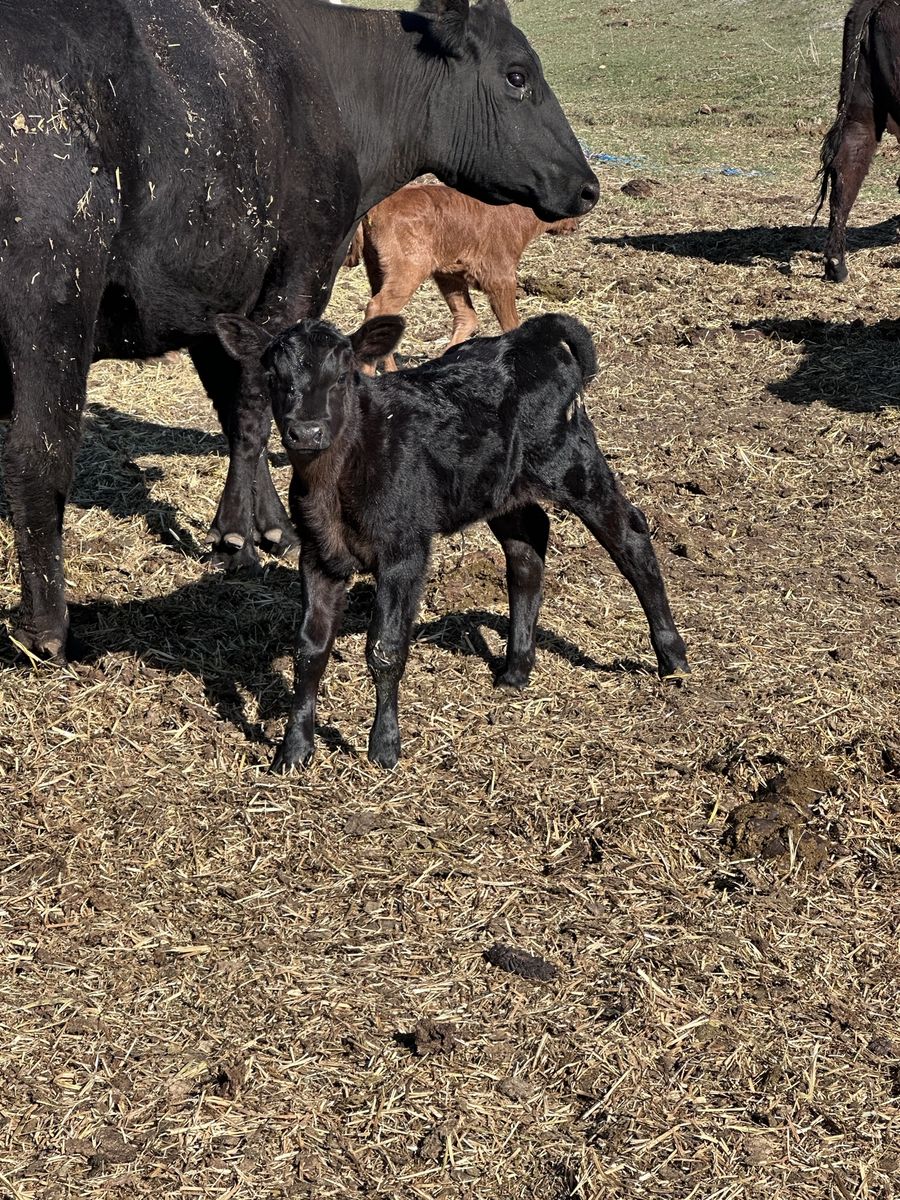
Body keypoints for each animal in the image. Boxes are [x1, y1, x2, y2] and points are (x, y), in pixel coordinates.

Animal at [214, 310, 690, 771]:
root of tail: (528, 336)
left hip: (572, 464)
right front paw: (293, 751)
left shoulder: (405, 550)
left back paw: (673, 659)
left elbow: (385, 648)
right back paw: (516, 670)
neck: (338, 478)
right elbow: (310, 651)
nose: (307, 431)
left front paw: (384, 749)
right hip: (501, 489)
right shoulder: (318, 554)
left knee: (630, 537)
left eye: (344, 373)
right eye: (273, 374)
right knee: (527, 545)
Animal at [351, 183, 580, 371]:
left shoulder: (449, 274)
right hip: (407, 271)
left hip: (376, 269)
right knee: (377, 307)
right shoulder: (501, 277)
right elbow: (511, 324)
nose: (575, 225)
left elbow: (467, 317)